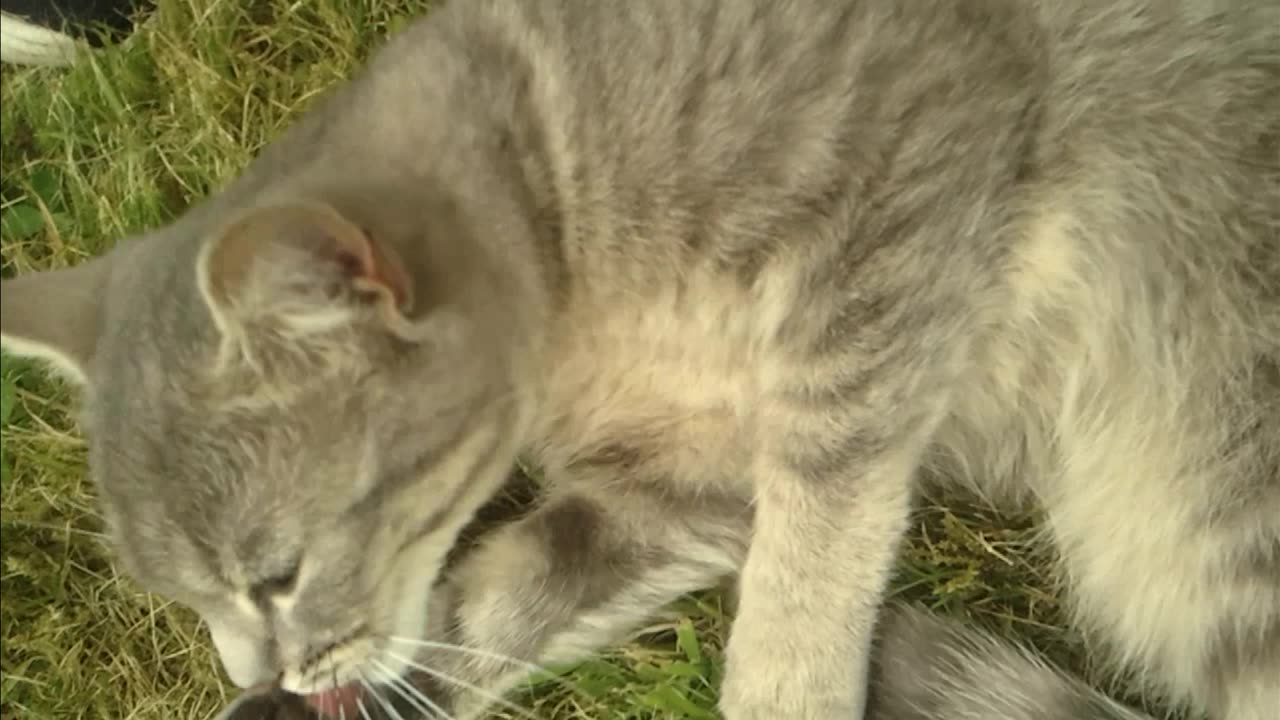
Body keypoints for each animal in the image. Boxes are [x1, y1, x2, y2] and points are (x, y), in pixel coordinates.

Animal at [2, 0, 1280, 712]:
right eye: (187, 602)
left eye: (275, 576)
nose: (262, 681)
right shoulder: (679, 481)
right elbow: (505, 596)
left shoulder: (899, 192)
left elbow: (820, 522)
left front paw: (783, 685)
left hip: (1217, 480)